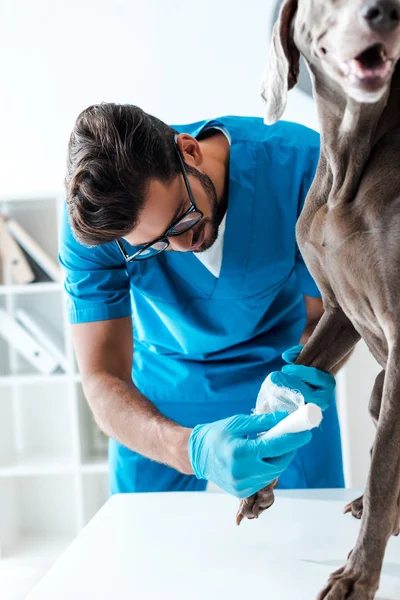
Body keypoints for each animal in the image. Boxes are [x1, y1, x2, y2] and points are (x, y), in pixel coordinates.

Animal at [236, 0, 400, 596]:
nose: (383, 13)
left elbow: (383, 464)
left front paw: (358, 575)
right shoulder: (337, 312)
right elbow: (297, 372)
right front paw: (258, 471)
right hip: (376, 389)